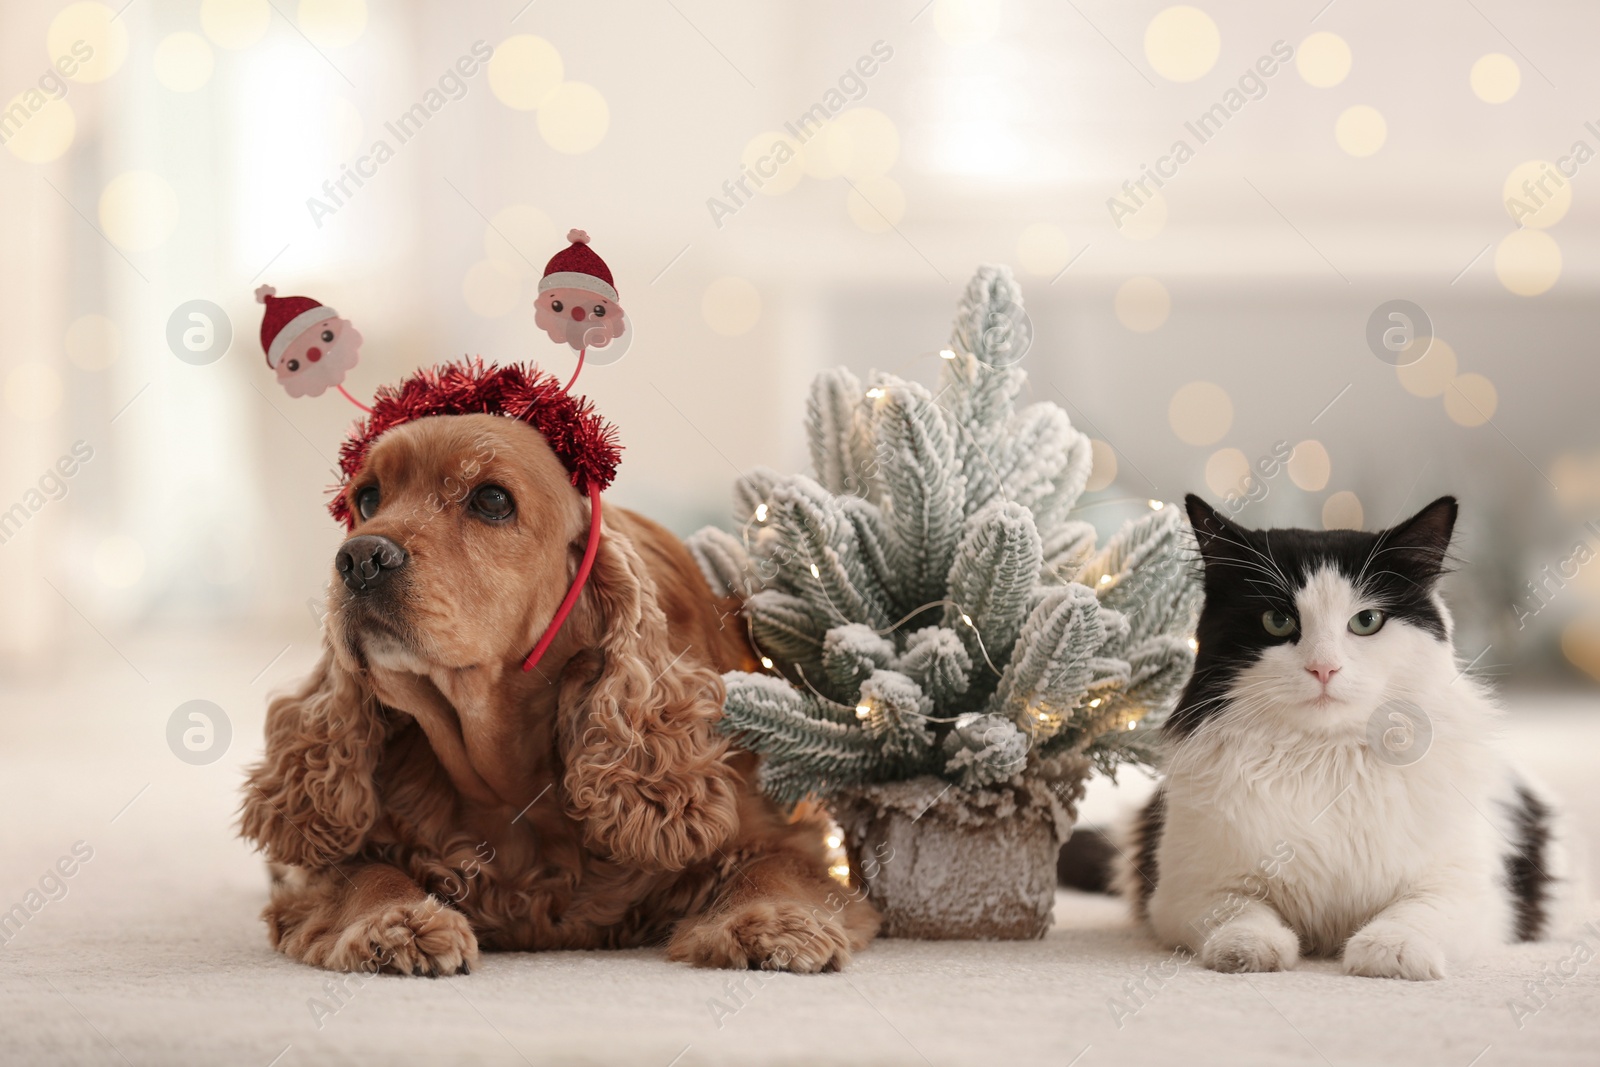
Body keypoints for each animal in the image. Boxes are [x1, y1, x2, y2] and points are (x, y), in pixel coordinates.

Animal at [240, 364, 876, 979]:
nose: (359, 559)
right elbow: (360, 871)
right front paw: (394, 922)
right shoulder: (328, 860)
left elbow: (775, 866)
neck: (507, 787)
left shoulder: (774, 826)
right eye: (367, 499)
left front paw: (775, 922)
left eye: (492, 500)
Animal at [1113, 495, 1574, 979]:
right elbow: (1240, 912)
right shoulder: (1187, 890)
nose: (1324, 668)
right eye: (1277, 621)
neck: (1326, 758)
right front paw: (1247, 950)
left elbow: (1412, 913)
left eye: (1367, 621)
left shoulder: (1467, 891)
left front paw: (1389, 952)